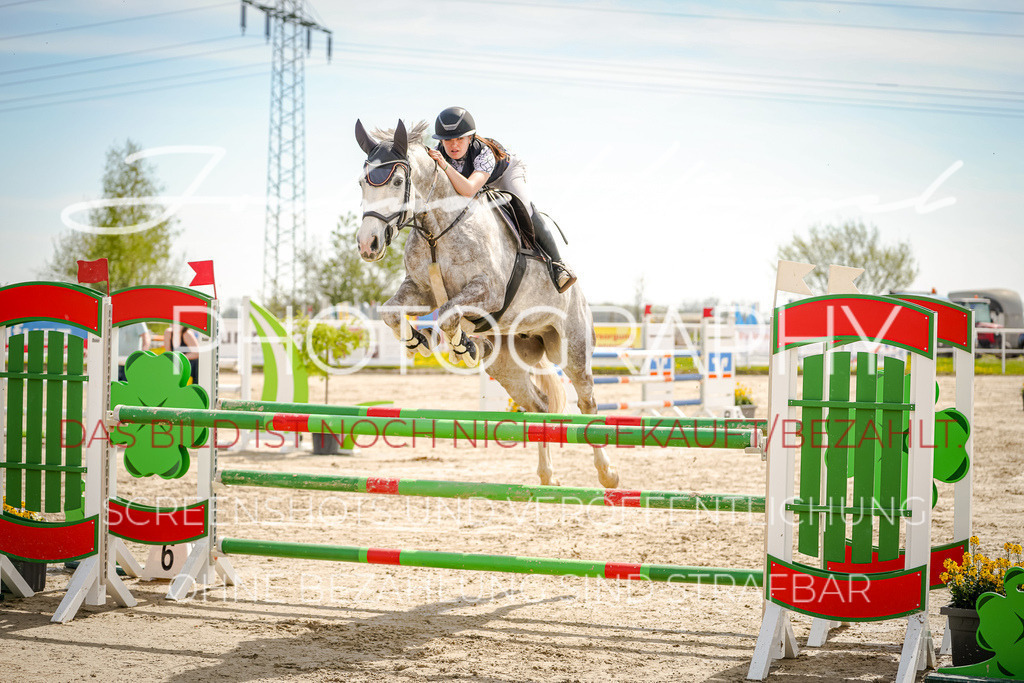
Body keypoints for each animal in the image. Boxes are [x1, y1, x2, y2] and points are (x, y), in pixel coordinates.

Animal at [360, 120, 614, 489]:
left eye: (395, 181)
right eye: (362, 181)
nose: (368, 244)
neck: (436, 228)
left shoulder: (487, 291)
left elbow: (448, 316)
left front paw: (460, 347)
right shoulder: (420, 291)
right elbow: (391, 313)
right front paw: (417, 342)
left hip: (572, 349)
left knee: (587, 403)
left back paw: (608, 473)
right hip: (507, 365)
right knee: (538, 407)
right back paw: (546, 475)